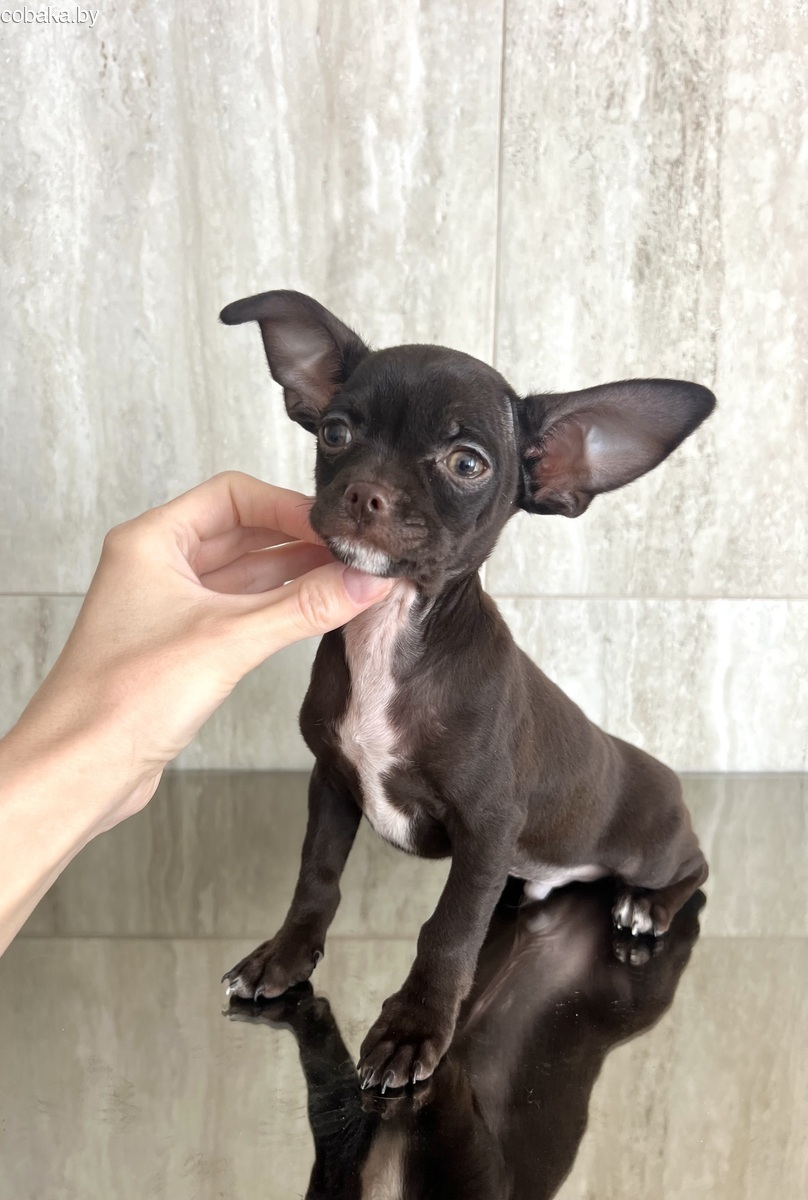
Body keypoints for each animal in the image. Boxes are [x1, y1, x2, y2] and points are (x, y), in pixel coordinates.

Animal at [220, 289, 714, 1090]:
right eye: (334, 432)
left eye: (466, 463)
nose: (364, 493)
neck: (391, 633)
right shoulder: (333, 782)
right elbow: (316, 878)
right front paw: (285, 956)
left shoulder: (485, 827)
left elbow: (449, 930)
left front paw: (414, 1028)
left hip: (649, 844)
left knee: (693, 866)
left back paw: (647, 908)